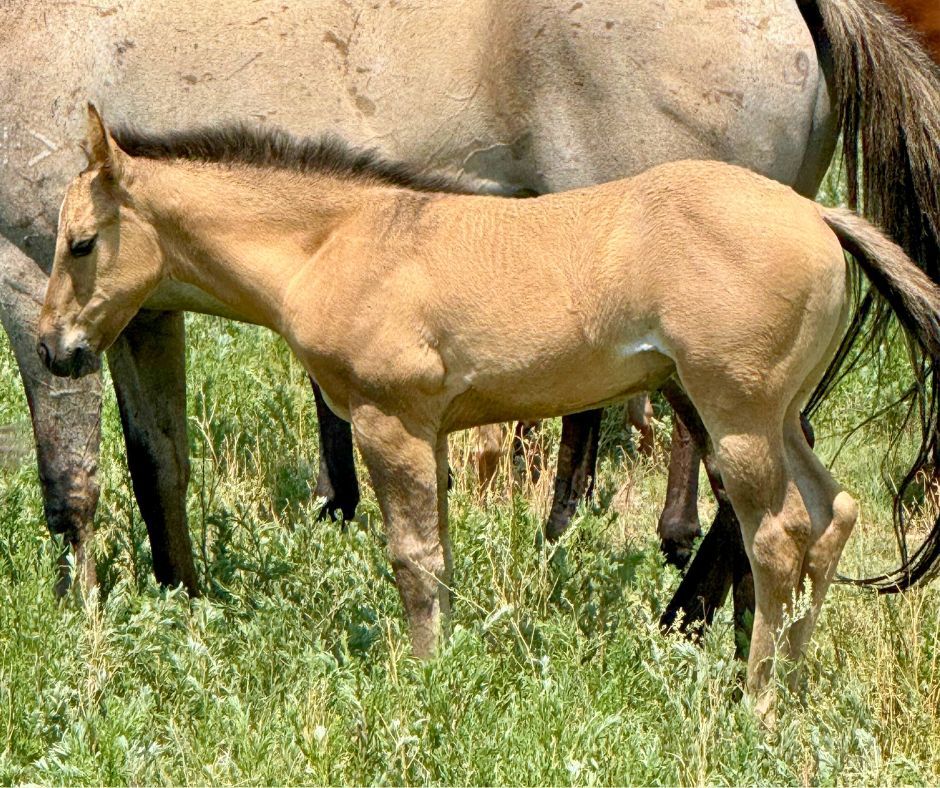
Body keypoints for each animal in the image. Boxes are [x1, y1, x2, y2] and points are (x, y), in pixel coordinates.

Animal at [4, 1, 939, 632]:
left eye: (79, 243)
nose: (57, 349)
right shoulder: (141, 314)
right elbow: (158, 463)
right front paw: (182, 607)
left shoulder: (28, 274)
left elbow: (71, 482)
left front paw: (84, 628)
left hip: (709, 380)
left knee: (753, 508)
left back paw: (694, 637)